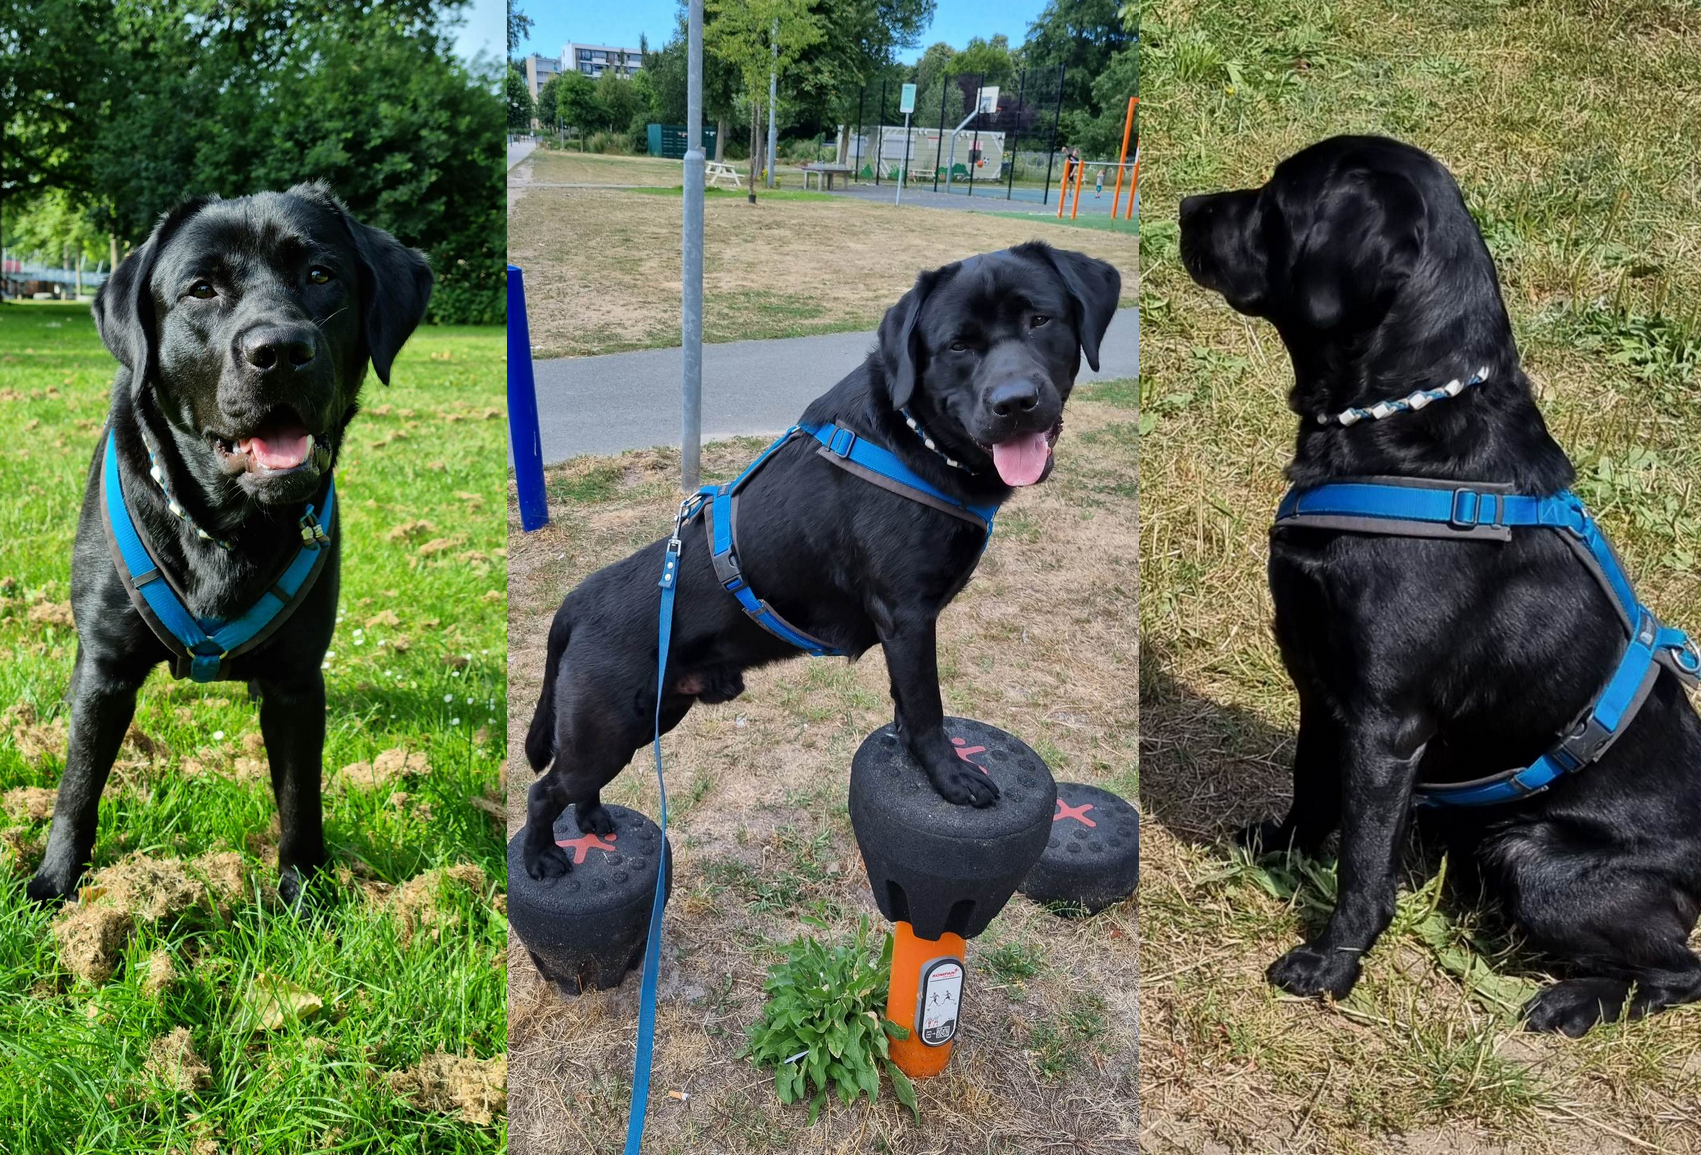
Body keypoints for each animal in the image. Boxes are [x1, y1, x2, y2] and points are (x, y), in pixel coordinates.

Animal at [28, 185, 432, 904]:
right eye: (201, 288)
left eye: (321, 275)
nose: (282, 349)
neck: (228, 526)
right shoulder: (106, 668)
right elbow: (77, 788)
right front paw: (55, 883)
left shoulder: (297, 682)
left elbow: (300, 796)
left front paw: (303, 893)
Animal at [523, 241, 1122, 877]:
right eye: (957, 345)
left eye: (1040, 320)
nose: (1015, 403)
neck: (911, 440)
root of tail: (574, 603)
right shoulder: (908, 617)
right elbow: (927, 707)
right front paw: (951, 777)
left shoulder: (904, 631)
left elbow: (905, 705)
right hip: (608, 728)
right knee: (545, 788)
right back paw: (542, 857)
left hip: (653, 716)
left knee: (575, 784)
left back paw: (593, 820)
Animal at [1177, 135, 1701, 1041]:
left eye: (1278, 200)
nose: (1183, 209)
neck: (1400, 428)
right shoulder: (1321, 684)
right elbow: (1311, 788)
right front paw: (1279, 849)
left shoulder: (1386, 722)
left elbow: (1361, 865)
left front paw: (1331, 963)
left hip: (1534, 856)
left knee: (1681, 970)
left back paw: (1570, 1001)